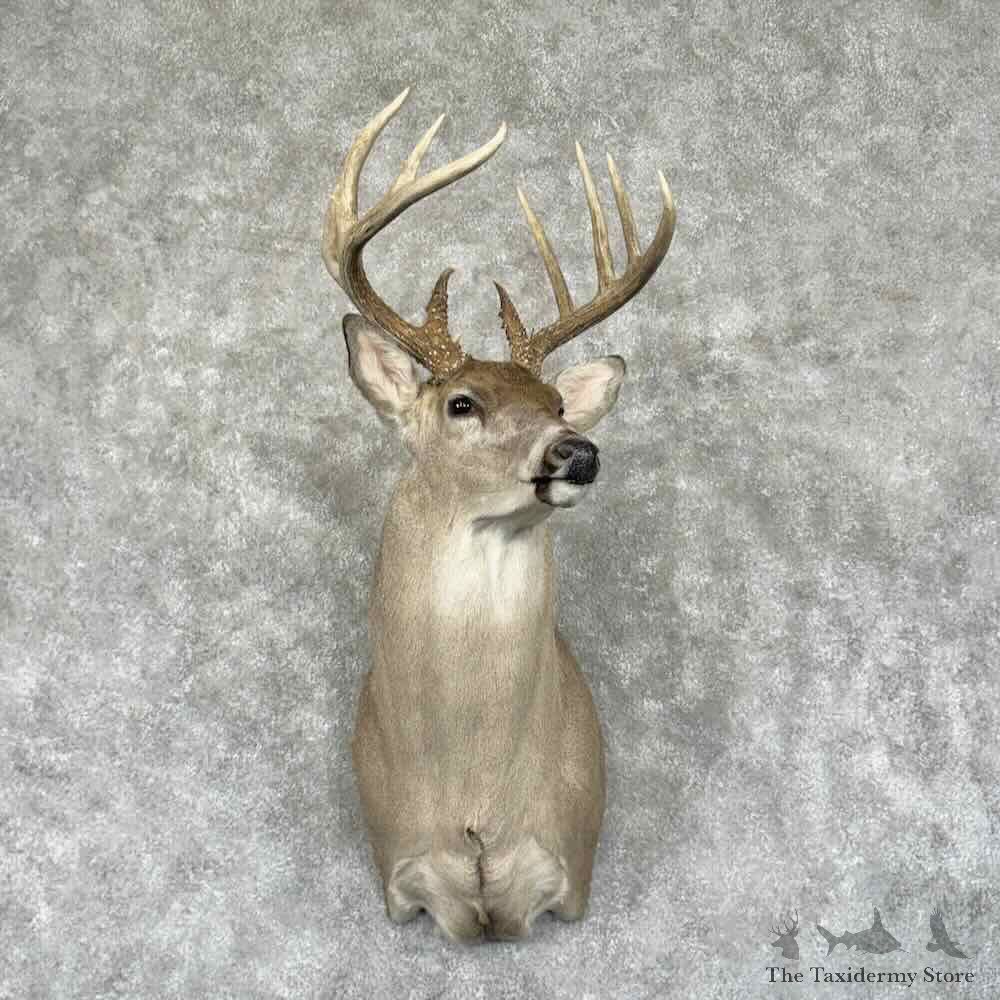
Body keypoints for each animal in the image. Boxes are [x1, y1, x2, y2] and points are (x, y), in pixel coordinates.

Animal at [322, 87, 675, 942]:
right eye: (461, 403)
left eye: (555, 402)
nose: (576, 451)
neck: (475, 804)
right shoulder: (400, 880)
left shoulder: (570, 877)